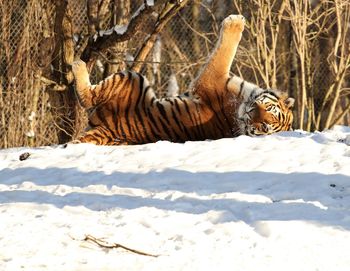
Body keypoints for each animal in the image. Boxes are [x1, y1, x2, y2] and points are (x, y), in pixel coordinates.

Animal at [72, 14, 296, 147]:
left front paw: (235, 21)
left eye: (264, 127)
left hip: (131, 78)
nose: (250, 114)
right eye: (267, 109)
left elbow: (225, 51)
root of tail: (106, 132)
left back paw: (77, 64)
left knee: (87, 97)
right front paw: (237, 20)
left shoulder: (211, 78)